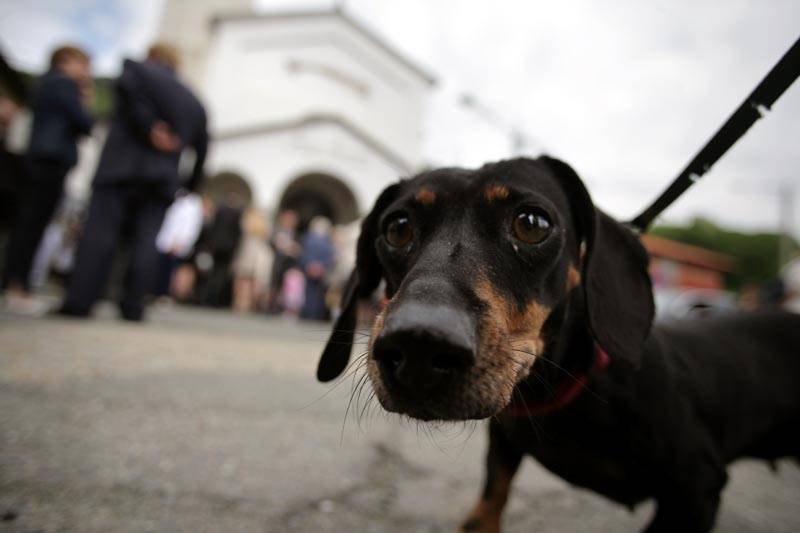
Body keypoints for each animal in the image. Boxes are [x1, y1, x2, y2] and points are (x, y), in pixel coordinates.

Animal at [318, 156, 800, 528]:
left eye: (532, 223)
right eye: (397, 227)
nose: (419, 345)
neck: (565, 390)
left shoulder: (696, 487)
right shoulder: (503, 448)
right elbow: (484, 511)